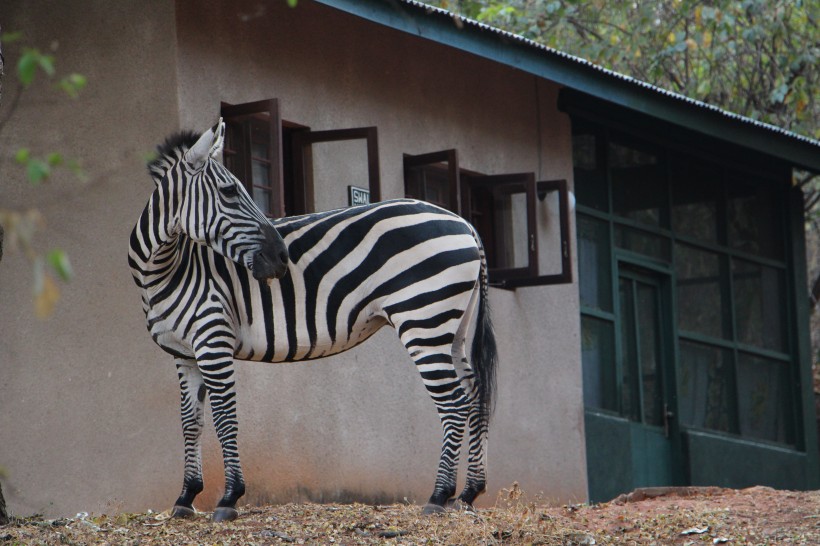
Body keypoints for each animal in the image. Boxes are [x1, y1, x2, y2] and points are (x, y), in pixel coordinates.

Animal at [130, 121, 500, 520]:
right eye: (229, 191)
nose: (281, 257)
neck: (167, 268)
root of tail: (463, 222)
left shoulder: (213, 340)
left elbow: (225, 417)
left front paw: (229, 497)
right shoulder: (184, 354)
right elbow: (191, 422)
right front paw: (185, 497)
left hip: (423, 317)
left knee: (454, 402)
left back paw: (438, 495)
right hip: (453, 325)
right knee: (475, 393)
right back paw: (469, 493)